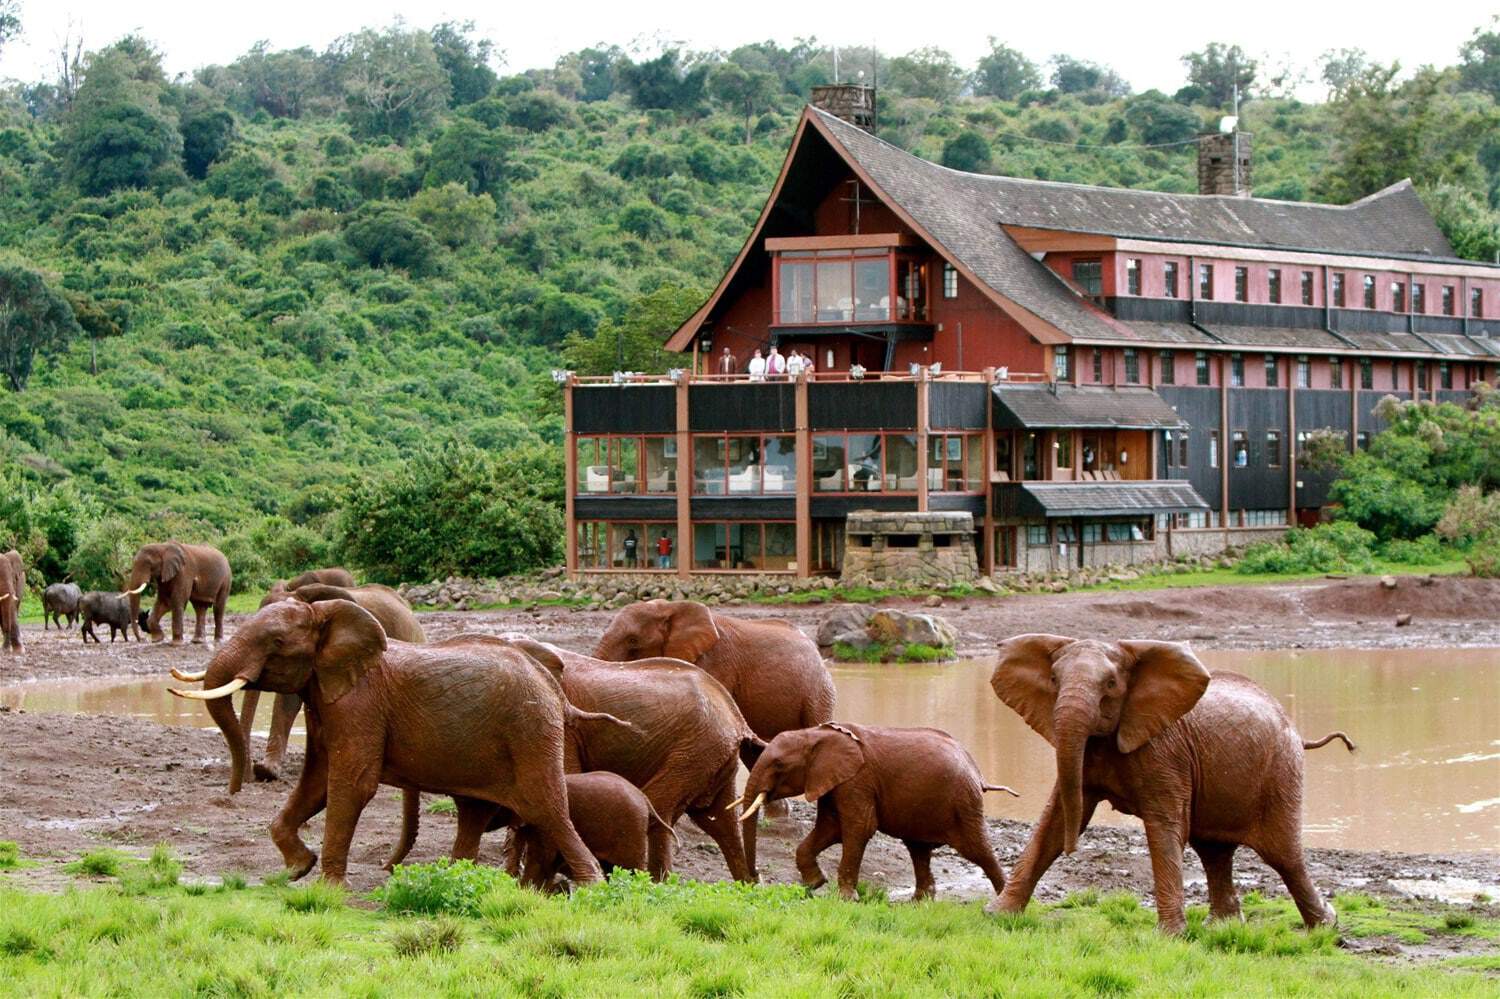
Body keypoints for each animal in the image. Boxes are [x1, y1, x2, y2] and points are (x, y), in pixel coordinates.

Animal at [170, 594, 603, 882]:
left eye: (275, 642)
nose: (234, 790)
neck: (326, 615)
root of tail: (552, 685)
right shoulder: (326, 696)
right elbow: (317, 781)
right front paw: (297, 869)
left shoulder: (360, 703)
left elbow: (351, 783)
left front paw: (327, 888)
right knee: (476, 812)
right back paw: (452, 877)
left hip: (531, 731)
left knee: (547, 808)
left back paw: (591, 885)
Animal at [387, 639, 768, 882]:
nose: (387, 868)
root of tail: (738, 719)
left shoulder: (563, 727)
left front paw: (518, 878)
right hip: (712, 754)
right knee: (720, 822)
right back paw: (744, 888)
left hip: (697, 747)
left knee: (663, 804)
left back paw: (654, 884)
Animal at [735, 720, 1014, 900]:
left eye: (779, 764)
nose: (756, 879)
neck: (814, 734)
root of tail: (977, 772)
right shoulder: (832, 781)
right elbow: (829, 829)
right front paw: (814, 883)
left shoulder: (857, 780)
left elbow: (858, 828)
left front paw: (846, 898)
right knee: (919, 849)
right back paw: (919, 902)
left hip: (963, 802)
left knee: (977, 849)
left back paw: (1004, 900)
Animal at [990, 633, 1356, 930]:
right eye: (1053, 679)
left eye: (1110, 684)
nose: (1073, 851)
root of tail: (1296, 729)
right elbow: (1054, 822)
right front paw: (997, 915)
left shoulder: (1165, 752)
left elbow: (1165, 826)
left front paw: (1168, 936)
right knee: (1214, 851)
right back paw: (1222, 927)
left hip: (1281, 770)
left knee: (1284, 855)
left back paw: (1326, 926)